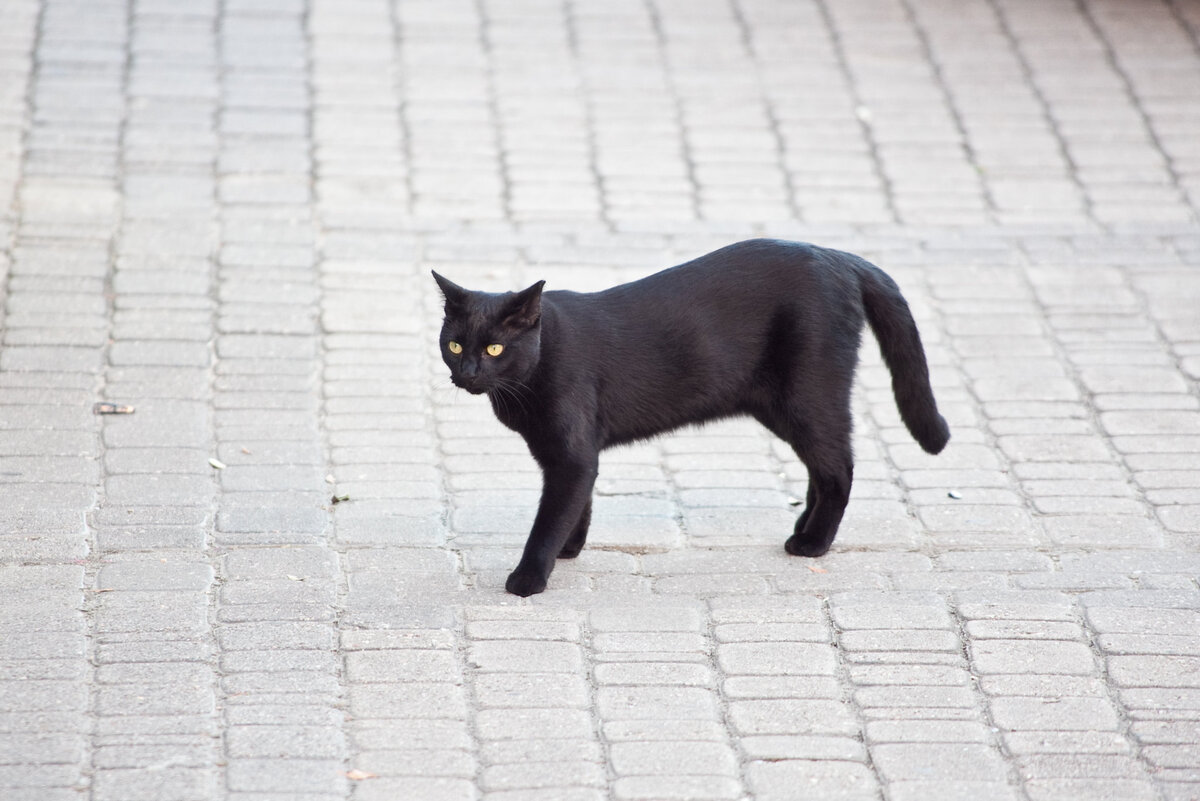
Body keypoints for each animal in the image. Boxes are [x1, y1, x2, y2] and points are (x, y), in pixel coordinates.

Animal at [432, 241, 945, 597]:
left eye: (494, 348)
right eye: (454, 344)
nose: (468, 373)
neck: (534, 367)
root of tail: (839, 257)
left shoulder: (571, 454)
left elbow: (550, 517)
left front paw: (530, 576)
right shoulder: (570, 455)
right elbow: (579, 505)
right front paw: (569, 549)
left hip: (807, 397)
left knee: (840, 468)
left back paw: (813, 544)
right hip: (786, 408)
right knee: (823, 466)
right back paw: (804, 529)